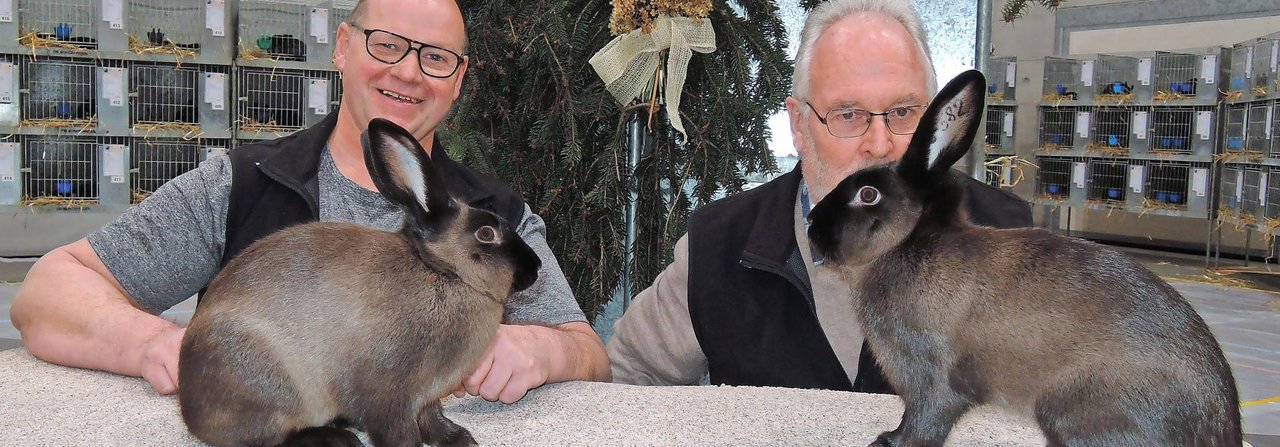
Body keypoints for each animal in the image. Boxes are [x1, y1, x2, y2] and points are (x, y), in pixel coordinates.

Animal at [179, 116, 540, 443]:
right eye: (486, 233)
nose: (535, 267)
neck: (441, 270)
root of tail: (190, 412)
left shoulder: (426, 397)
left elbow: (433, 419)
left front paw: (459, 439)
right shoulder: (390, 396)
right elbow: (400, 432)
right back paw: (334, 437)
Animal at [808, 70, 1239, 445]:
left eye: (867, 194)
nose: (811, 222)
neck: (908, 243)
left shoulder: (932, 377)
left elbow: (925, 420)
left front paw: (888, 442)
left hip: (1074, 409)